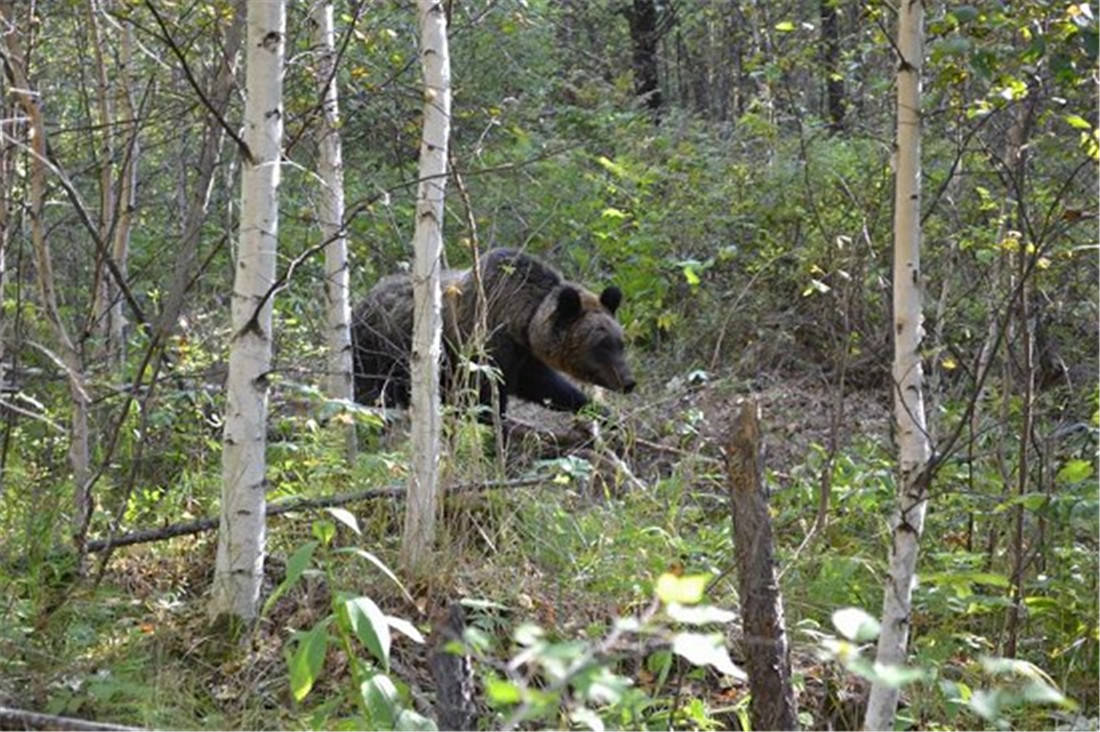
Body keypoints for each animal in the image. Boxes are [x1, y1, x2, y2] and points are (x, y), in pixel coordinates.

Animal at [352, 246, 638, 413]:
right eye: (600, 345)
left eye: (620, 342)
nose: (628, 381)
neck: (519, 322)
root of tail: (363, 299)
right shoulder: (484, 348)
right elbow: (487, 400)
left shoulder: (524, 357)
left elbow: (548, 386)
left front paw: (600, 412)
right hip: (378, 354)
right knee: (372, 392)